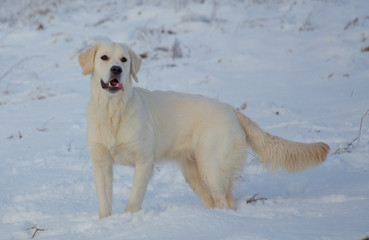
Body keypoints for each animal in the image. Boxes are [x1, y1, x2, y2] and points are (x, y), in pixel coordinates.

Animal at [77, 42, 328, 218]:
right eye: (104, 57)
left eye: (124, 59)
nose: (116, 69)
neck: (113, 112)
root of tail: (229, 108)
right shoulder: (101, 163)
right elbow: (104, 200)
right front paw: (105, 221)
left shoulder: (144, 162)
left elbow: (134, 197)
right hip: (193, 171)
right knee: (214, 201)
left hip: (212, 166)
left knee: (224, 201)